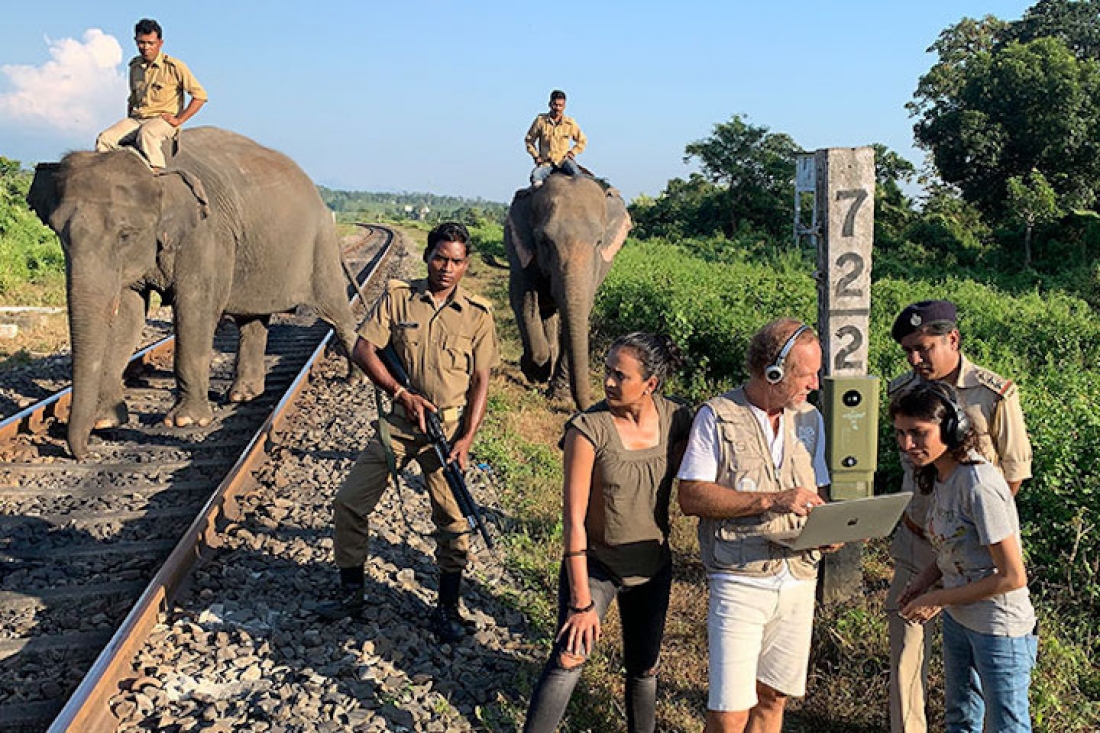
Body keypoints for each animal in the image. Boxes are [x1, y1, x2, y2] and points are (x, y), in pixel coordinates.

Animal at [26, 125, 360, 457]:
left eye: (125, 235)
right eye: (59, 234)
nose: (84, 452)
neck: (152, 169)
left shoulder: (207, 235)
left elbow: (195, 309)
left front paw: (185, 421)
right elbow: (127, 318)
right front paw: (106, 421)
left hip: (320, 247)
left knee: (336, 311)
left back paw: (351, 377)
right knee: (252, 319)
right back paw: (242, 396)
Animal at [503, 173, 633, 407]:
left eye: (599, 242)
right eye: (544, 241)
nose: (586, 407)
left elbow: (579, 311)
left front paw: (559, 396)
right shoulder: (519, 251)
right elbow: (523, 300)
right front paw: (534, 372)